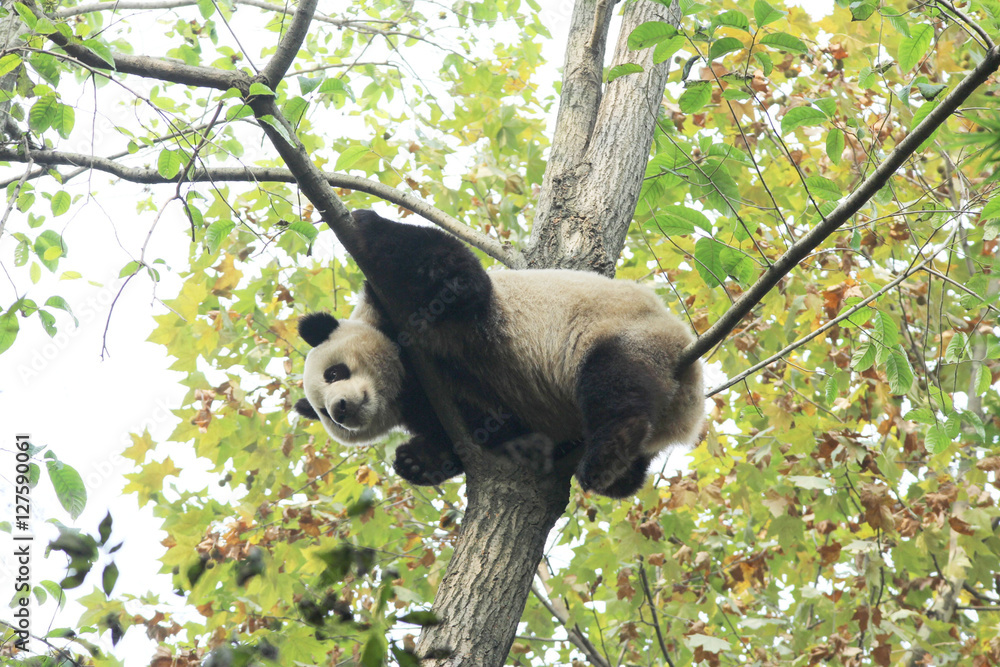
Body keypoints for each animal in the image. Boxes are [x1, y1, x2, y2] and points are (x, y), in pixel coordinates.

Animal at [294, 210, 704, 498]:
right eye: (321, 412)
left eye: (334, 373)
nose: (340, 409)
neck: (403, 375)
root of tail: (688, 407)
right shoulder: (441, 397)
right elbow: (489, 430)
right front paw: (416, 459)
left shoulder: (435, 314)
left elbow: (455, 278)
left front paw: (366, 221)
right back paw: (618, 471)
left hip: (629, 333)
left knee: (615, 383)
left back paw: (605, 456)